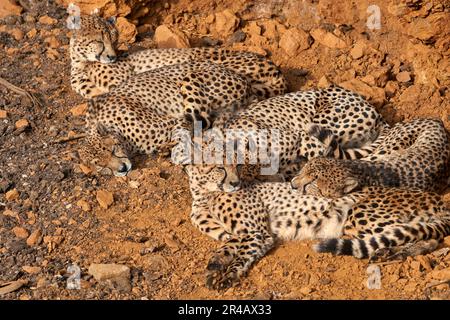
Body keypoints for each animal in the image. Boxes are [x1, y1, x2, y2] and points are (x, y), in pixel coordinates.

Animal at [68, 13, 286, 100]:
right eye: (100, 41)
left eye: (114, 40)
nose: (112, 57)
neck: (81, 62)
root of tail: (274, 68)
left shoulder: (123, 81)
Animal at [184, 165, 450, 290]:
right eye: (219, 167)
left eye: (236, 166)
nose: (234, 182)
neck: (209, 193)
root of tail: (438, 199)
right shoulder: (242, 233)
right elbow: (227, 245)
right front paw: (214, 266)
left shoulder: (258, 234)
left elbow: (240, 254)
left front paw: (228, 276)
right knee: (427, 236)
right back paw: (392, 252)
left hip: (358, 216)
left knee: (423, 235)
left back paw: (391, 251)